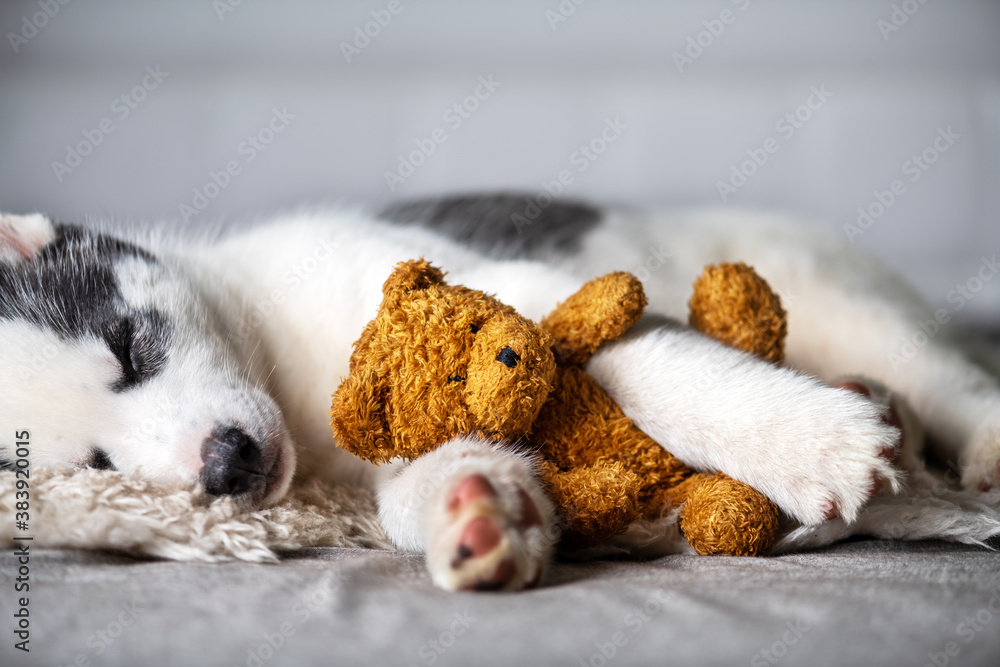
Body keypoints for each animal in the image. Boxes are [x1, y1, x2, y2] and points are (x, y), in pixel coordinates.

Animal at [1, 196, 1000, 592]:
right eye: (96, 464)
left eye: (128, 344)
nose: (229, 463)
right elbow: (404, 491)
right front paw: (476, 506)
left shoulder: (513, 295)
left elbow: (649, 365)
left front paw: (805, 441)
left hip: (843, 293)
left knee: (953, 376)